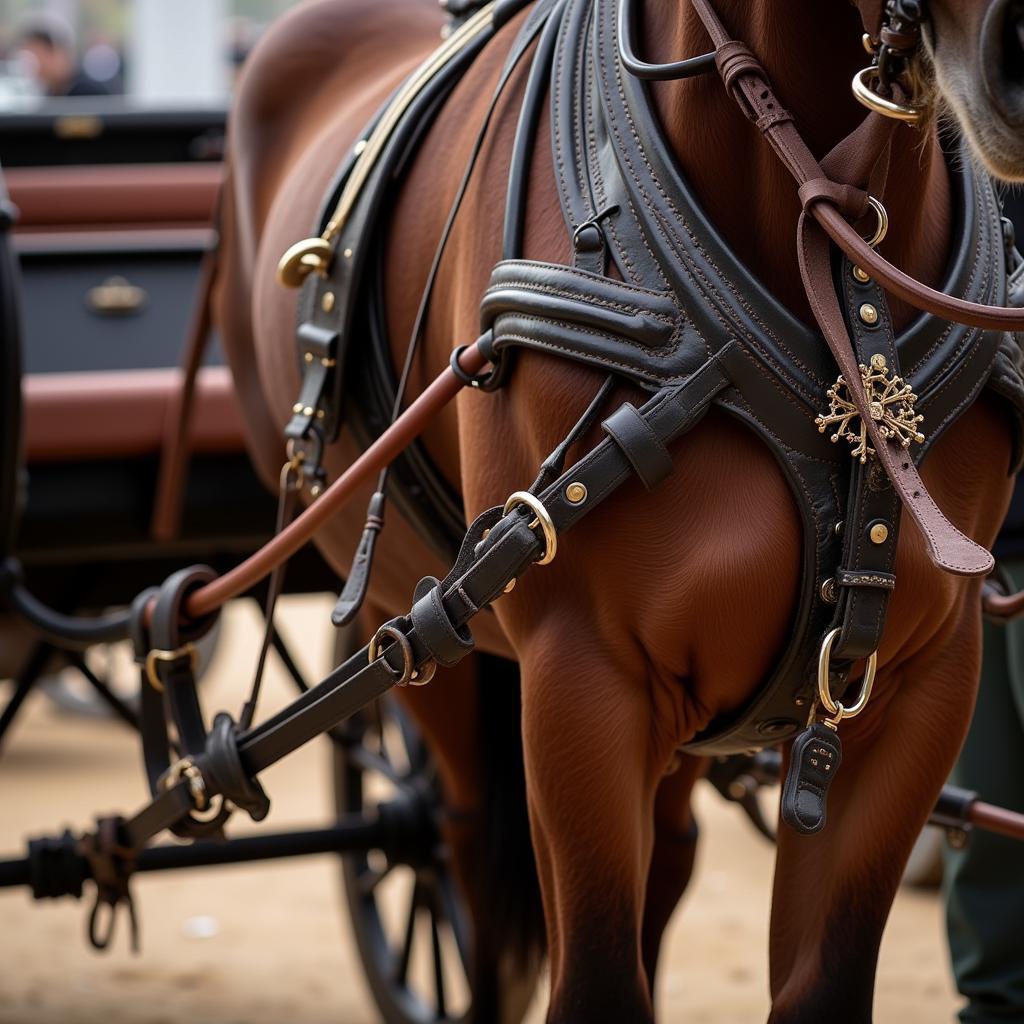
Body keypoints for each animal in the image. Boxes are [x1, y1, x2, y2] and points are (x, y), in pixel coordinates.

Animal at [216, 0, 1024, 1019]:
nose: (1014, 58)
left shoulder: (921, 680)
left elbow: (820, 981)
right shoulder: (583, 674)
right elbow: (596, 976)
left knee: (663, 859)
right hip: (410, 626)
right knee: (466, 854)